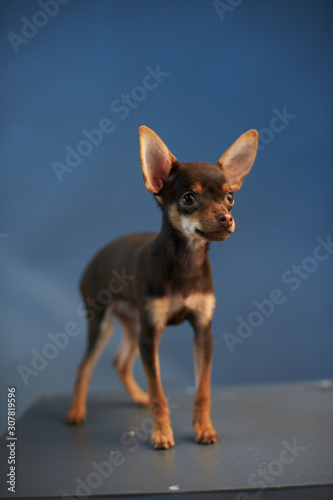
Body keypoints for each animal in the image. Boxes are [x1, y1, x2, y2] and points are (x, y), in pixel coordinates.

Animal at [65, 125, 256, 450]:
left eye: (230, 196)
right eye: (189, 198)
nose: (227, 217)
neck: (187, 261)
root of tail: (95, 257)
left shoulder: (202, 333)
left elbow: (203, 390)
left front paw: (203, 429)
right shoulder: (151, 336)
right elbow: (159, 393)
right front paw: (162, 434)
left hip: (133, 325)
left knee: (119, 362)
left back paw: (136, 396)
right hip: (104, 324)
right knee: (85, 367)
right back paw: (76, 411)